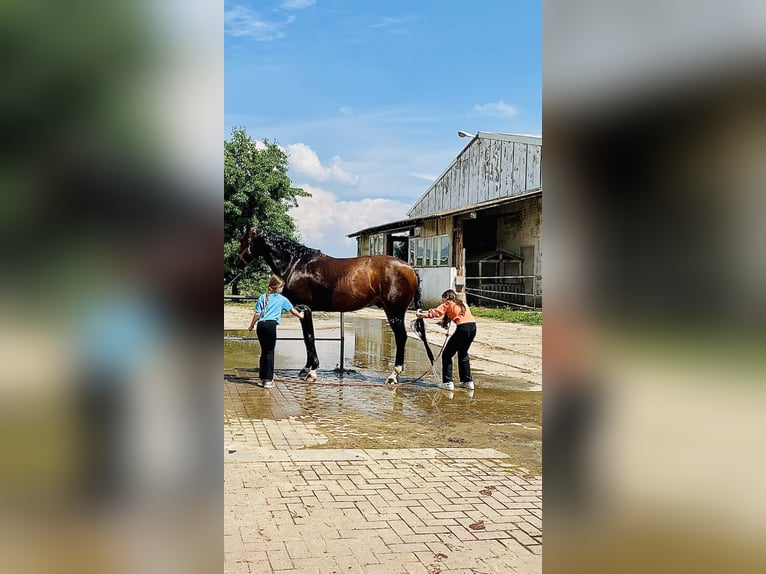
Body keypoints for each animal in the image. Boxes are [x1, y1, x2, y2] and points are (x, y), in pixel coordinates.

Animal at [236, 227, 426, 384]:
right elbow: (306, 338)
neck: (297, 263)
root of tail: (410, 268)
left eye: (243, 240)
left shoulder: (305, 309)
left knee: (401, 338)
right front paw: (306, 368)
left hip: (394, 312)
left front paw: (312, 371)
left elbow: (310, 337)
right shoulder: (301, 311)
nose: (237, 262)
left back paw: (393, 375)